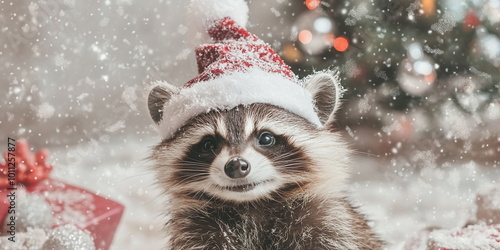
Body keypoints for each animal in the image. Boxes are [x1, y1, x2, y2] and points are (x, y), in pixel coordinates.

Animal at [147, 72, 382, 248]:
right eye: (209, 145)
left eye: (266, 138)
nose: (236, 166)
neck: (253, 205)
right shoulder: (196, 231)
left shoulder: (329, 223)